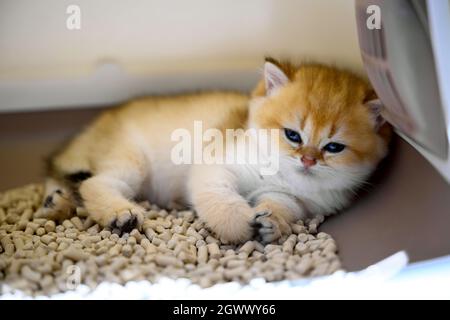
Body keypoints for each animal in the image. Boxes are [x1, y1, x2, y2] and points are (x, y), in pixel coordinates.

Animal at [37, 58, 392, 242]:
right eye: (292, 135)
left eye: (334, 147)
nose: (307, 159)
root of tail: (95, 125)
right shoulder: (216, 166)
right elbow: (222, 200)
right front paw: (242, 224)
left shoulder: (292, 198)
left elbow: (280, 206)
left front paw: (270, 223)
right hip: (131, 161)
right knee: (93, 183)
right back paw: (119, 215)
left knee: (67, 179)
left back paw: (56, 203)